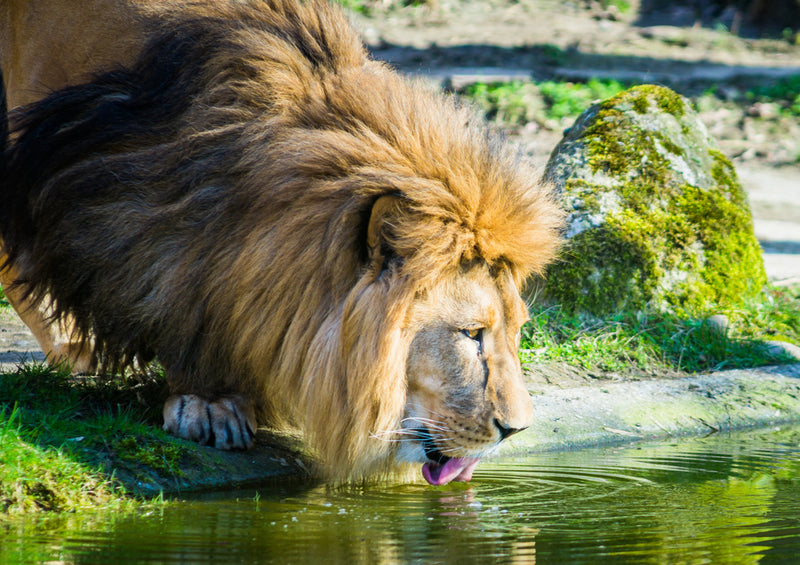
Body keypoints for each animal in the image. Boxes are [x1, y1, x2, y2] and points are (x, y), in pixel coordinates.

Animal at [0, 0, 564, 484]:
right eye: (470, 334)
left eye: (517, 330)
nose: (517, 430)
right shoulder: (120, 192)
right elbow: (172, 296)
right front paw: (209, 401)